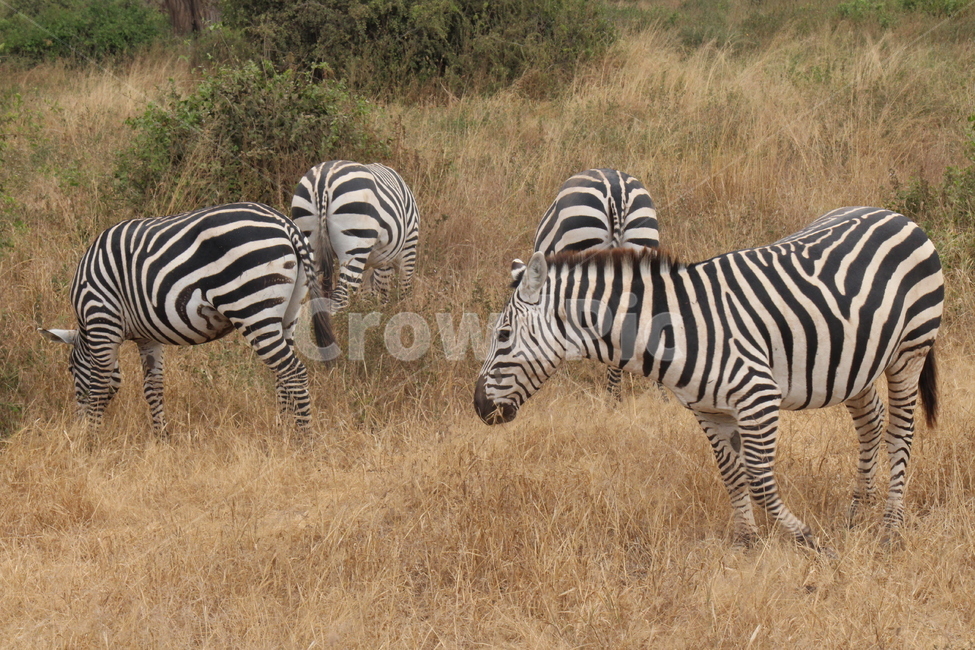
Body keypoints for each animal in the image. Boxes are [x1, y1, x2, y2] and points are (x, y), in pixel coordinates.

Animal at [39, 202, 336, 432]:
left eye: (70, 369)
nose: (76, 424)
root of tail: (287, 225)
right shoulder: (147, 337)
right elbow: (153, 387)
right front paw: (161, 437)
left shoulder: (102, 318)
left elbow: (100, 385)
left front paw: (91, 439)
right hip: (289, 312)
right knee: (282, 376)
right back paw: (282, 432)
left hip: (252, 308)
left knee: (293, 372)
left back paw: (303, 439)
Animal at [291, 161, 420, 314]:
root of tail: (323, 181)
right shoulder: (407, 246)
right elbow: (397, 289)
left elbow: (367, 293)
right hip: (356, 243)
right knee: (340, 298)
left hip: (311, 246)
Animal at [474, 207, 943, 552]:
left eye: (503, 334)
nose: (479, 407)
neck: (677, 331)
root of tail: (897, 215)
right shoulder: (708, 410)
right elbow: (732, 475)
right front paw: (746, 543)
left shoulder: (758, 397)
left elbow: (758, 480)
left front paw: (806, 538)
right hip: (855, 364)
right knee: (871, 423)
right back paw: (857, 512)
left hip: (909, 349)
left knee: (900, 431)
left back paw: (890, 527)